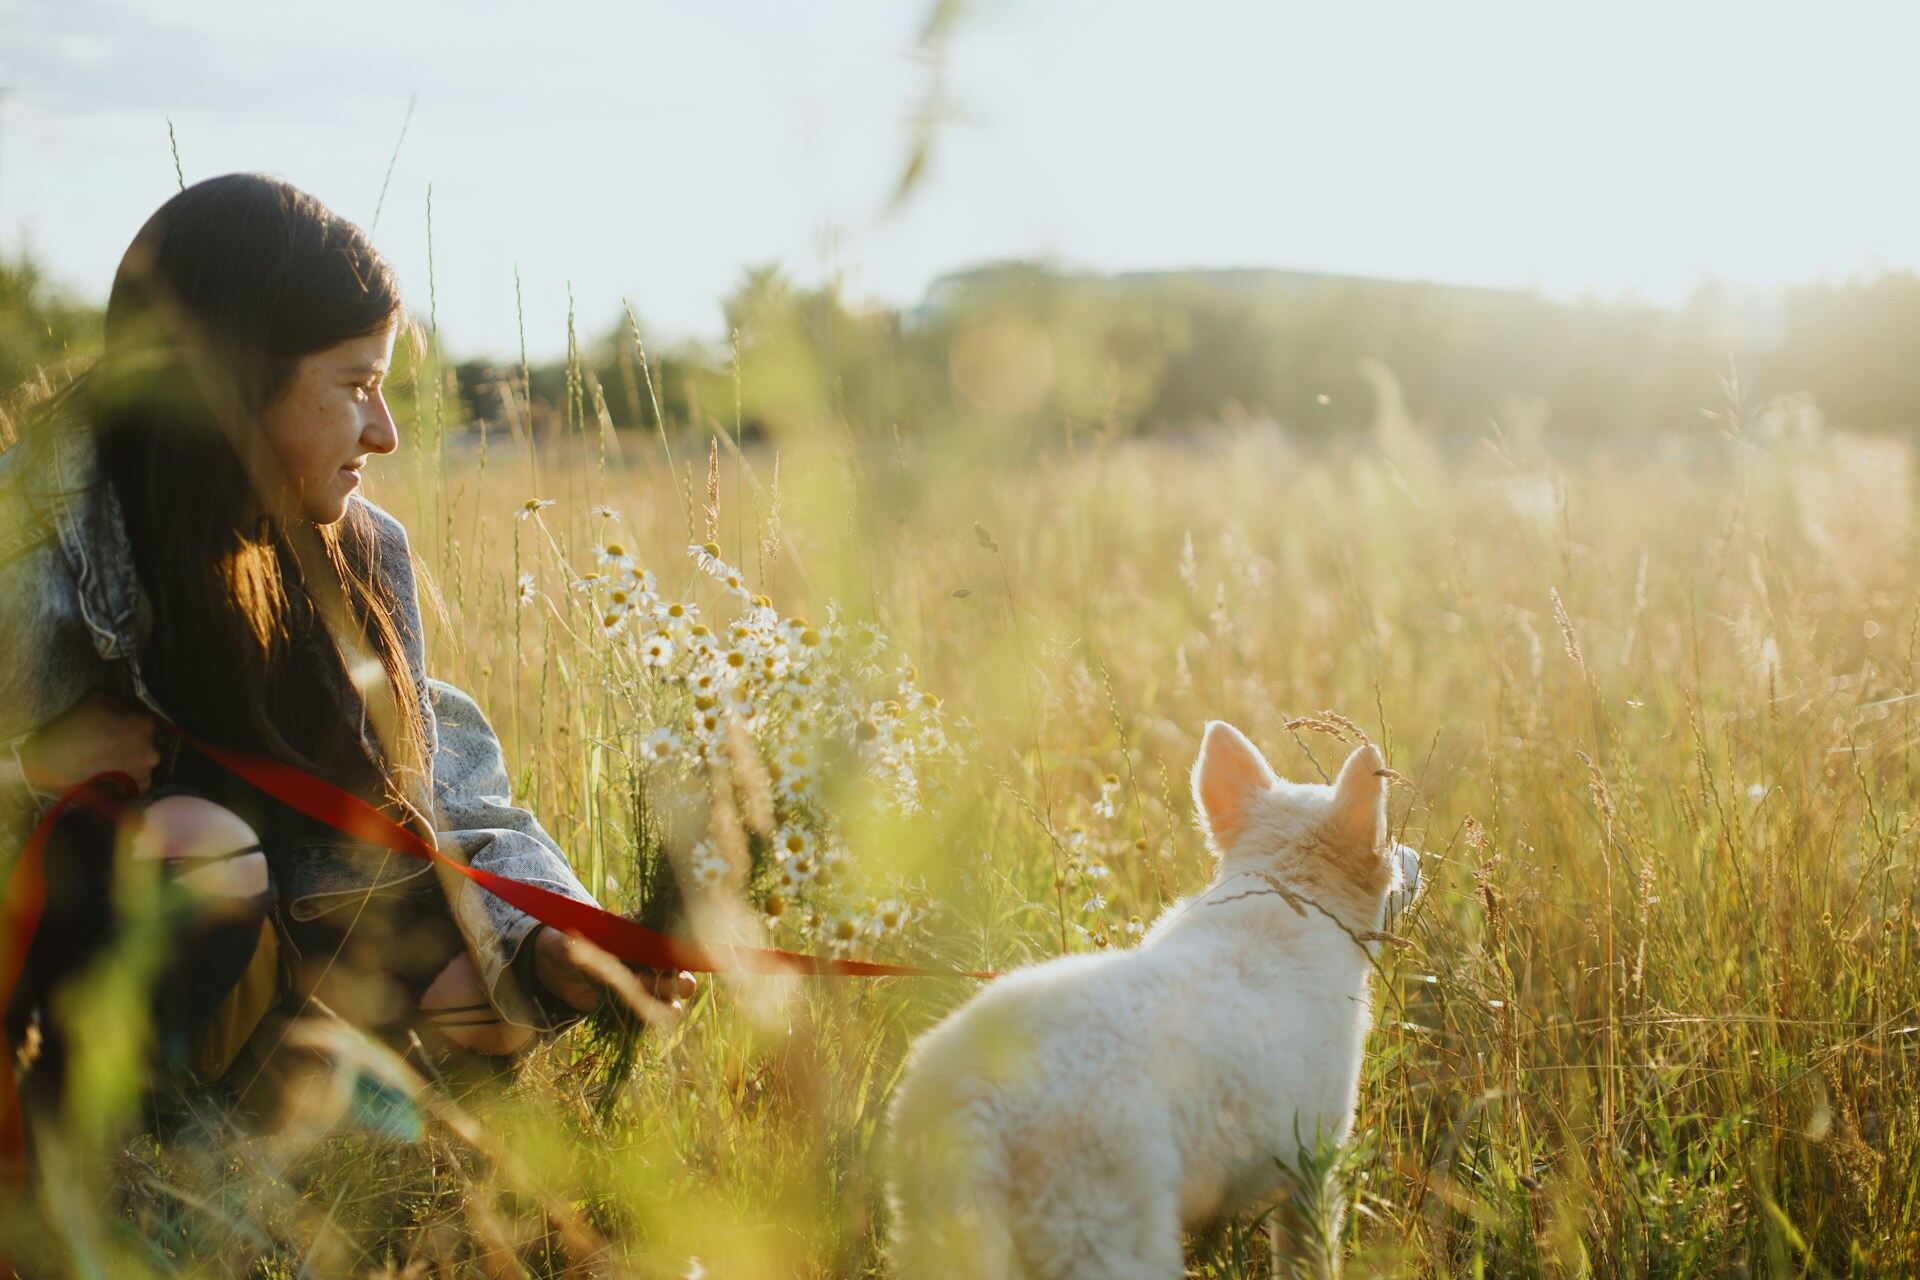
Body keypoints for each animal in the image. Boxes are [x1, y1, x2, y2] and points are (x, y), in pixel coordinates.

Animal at [890, 725, 1420, 1274]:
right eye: (1386, 840)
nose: (1418, 858)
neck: (1283, 895)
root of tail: (979, 1106)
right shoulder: (1310, 1167)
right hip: (1108, 1237)